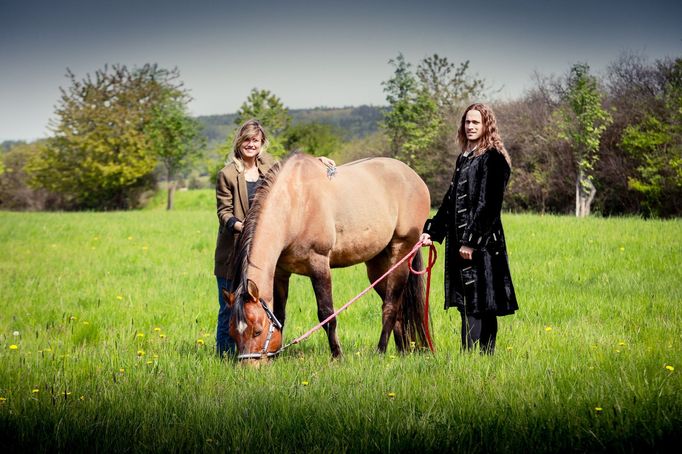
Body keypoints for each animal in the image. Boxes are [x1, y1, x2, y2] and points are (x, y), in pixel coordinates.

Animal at [223, 154, 430, 364]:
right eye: (233, 333)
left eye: (257, 331)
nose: (248, 367)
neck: (296, 202)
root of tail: (413, 176)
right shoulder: (281, 273)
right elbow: (279, 315)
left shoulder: (319, 265)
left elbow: (327, 313)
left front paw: (337, 356)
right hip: (378, 265)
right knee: (397, 306)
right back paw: (401, 351)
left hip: (402, 251)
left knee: (391, 305)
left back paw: (380, 351)